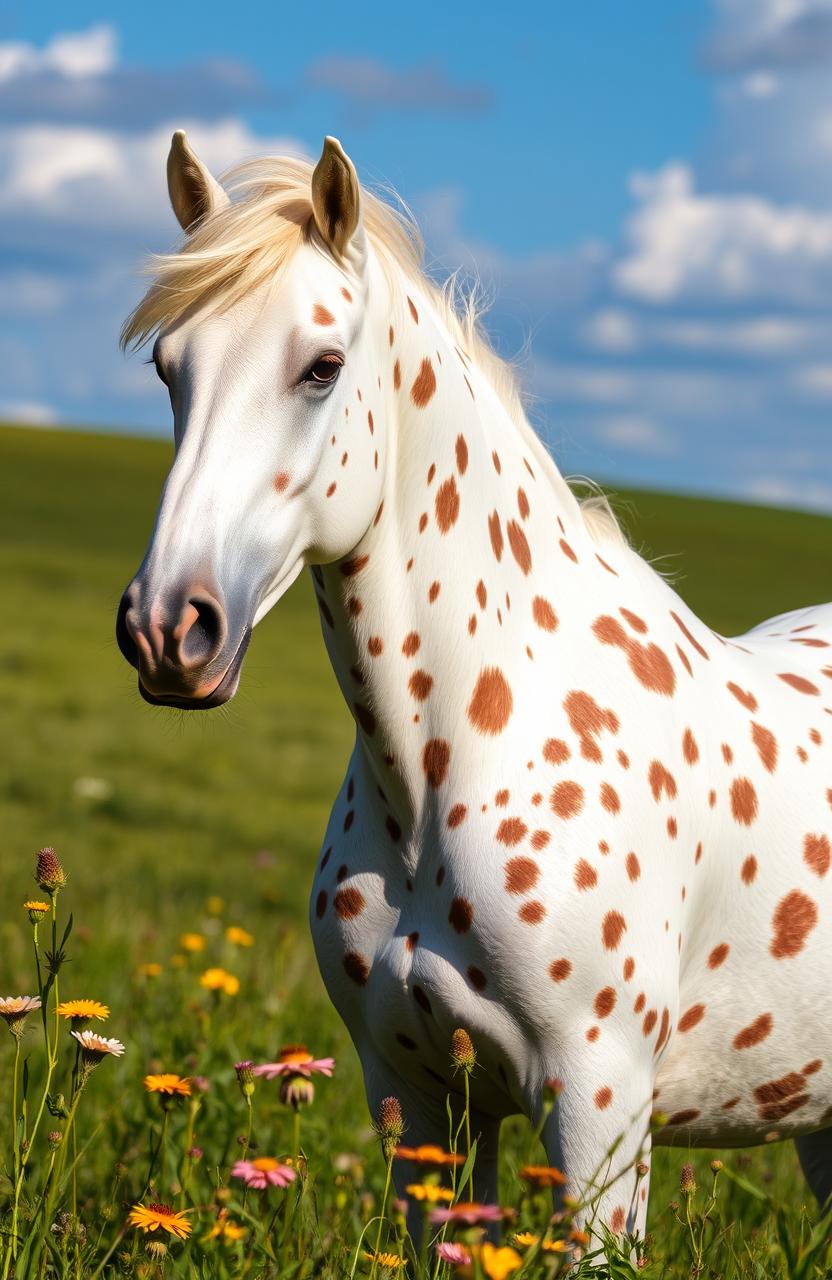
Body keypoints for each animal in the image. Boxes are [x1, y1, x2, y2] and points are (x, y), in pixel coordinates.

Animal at [116, 130, 832, 1241]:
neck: (464, 756)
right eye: (167, 368)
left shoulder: (597, 1111)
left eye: (322, 366)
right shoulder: (415, 1099)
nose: (167, 629)